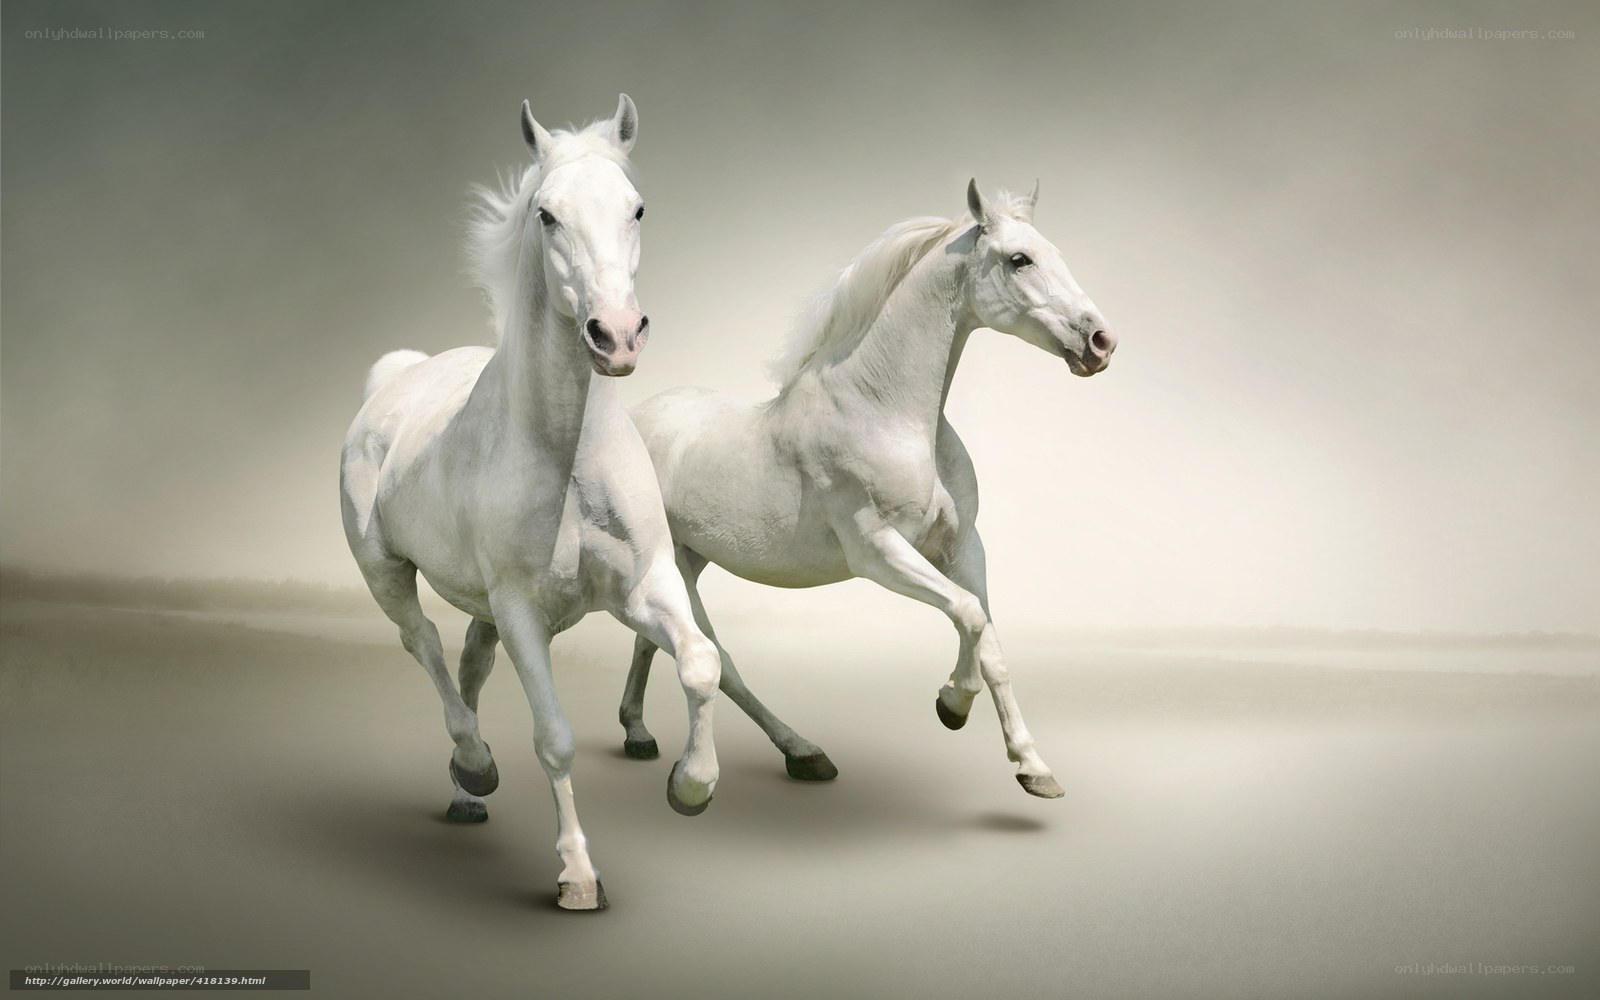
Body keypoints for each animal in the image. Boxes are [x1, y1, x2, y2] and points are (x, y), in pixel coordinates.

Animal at [340, 95, 721, 910]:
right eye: (547, 215)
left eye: (637, 207)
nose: (616, 335)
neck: (567, 457)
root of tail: (396, 378)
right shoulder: (522, 613)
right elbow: (555, 739)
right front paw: (577, 876)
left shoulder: (643, 586)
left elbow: (701, 662)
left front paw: (690, 786)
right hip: (386, 572)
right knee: (423, 644)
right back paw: (474, 765)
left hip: (481, 606)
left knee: (469, 663)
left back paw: (465, 792)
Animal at [617, 179, 1116, 799]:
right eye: (1019, 259)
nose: (1101, 341)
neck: (886, 412)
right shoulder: (877, 552)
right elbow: (969, 616)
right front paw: (952, 704)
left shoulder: (963, 548)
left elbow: (991, 642)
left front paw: (1033, 768)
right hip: (676, 567)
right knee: (716, 658)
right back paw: (797, 753)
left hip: (688, 558)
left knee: (652, 640)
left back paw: (640, 734)